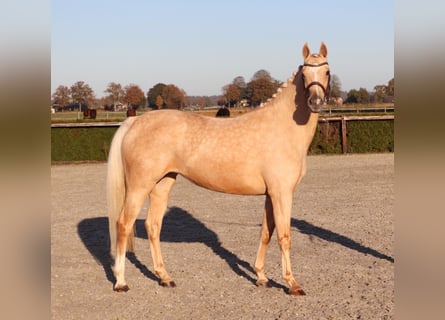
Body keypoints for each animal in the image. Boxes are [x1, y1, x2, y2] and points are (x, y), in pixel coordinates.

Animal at [107, 42, 330, 296]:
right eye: (304, 75)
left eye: (327, 72)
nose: (315, 102)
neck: (281, 127)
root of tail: (135, 121)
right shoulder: (282, 194)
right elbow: (284, 236)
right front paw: (292, 284)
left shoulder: (271, 195)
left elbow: (266, 232)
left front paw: (261, 277)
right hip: (139, 186)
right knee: (124, 224)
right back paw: (121, 282)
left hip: (162, 184)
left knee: (152, 226)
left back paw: (165, 278)